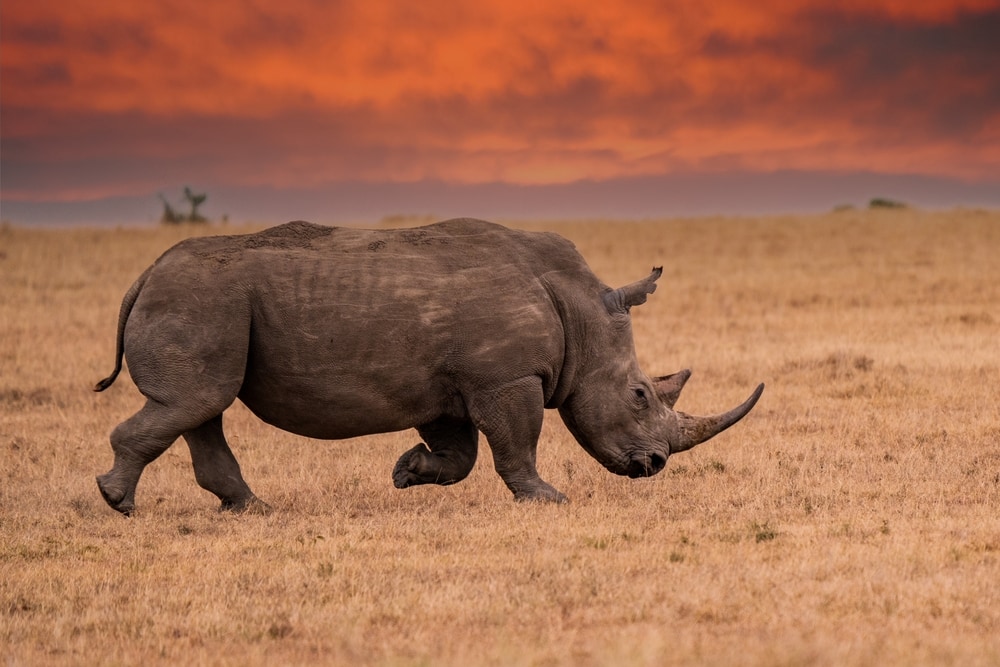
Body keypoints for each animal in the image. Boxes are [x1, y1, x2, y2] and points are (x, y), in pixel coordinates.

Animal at [94, 219, 763, 515]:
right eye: (641, 395)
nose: (652, 466)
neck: (580, 310)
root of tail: (143, 275)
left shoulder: (452, 386)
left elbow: (461, 455)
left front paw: (406, 472)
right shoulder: (506, 378)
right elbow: (517, 444)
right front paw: (549, 499)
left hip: (207, 304)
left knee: (202, 404)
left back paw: (250, 509)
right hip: (201, 299)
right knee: (194, 401)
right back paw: (118, 503)